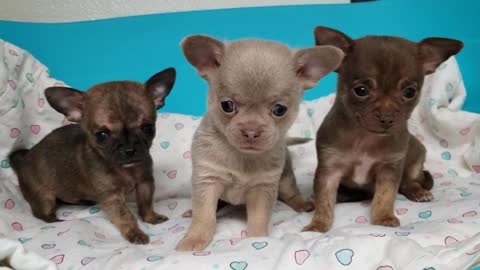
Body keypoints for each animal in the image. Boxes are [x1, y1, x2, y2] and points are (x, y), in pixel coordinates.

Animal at [8, 68, 176, 245]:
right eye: (101, 135)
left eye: (148, 128)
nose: (129, 149)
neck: (125, 169)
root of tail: (24, 161)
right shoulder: (112, 197)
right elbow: (125, 217)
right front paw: (134, 232)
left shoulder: (145, 183)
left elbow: (146, 203)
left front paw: (151, 218)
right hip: (43, 197)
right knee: (41, 213)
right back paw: (56, 221)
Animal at [177, 34, 344, 251]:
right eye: (227, 105)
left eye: (280, 109)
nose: (251, 131)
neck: (242, 157)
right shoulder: (207, 181)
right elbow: (204, 216)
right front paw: (194, 239)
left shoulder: (262, 190)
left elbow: (258, 218)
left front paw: (257, 240)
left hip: (285, 179)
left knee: (291, 193)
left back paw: (302, 204)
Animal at [302, 25, 464, 232]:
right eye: (361, 91)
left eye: (410, 92)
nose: (387, 118)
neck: (365, 138)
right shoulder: (329, 171)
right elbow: (324, 201)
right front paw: (318, 225)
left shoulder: (389, 170)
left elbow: (385, 195)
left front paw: (383, 218)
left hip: (417, 156)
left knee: (408, 182)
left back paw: (418, 191)